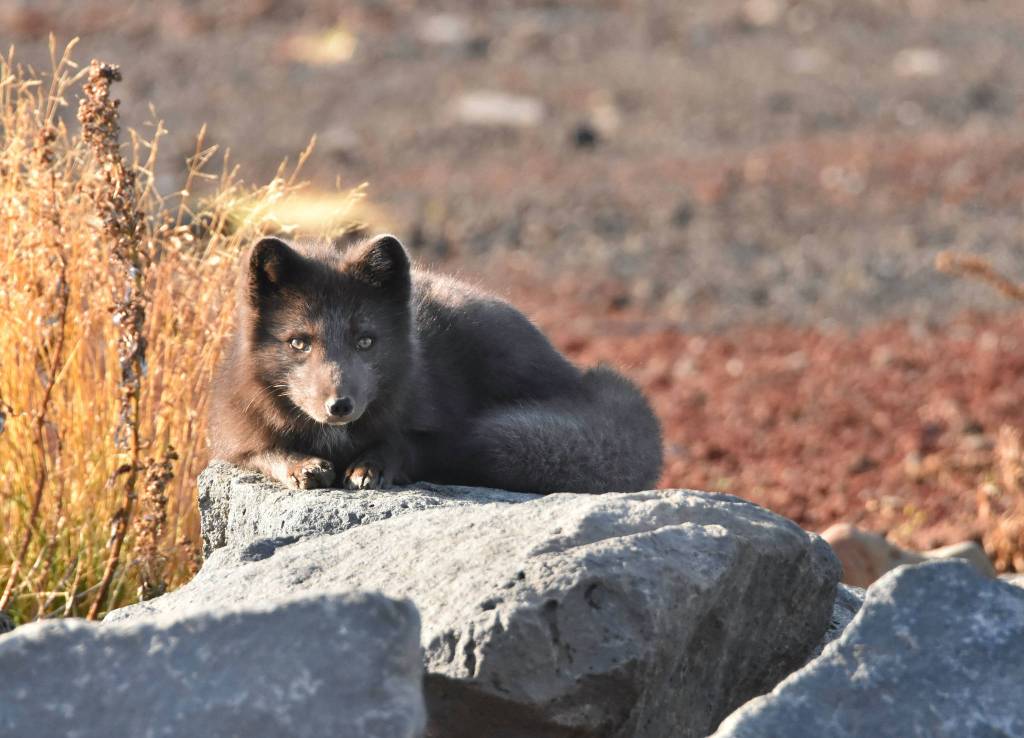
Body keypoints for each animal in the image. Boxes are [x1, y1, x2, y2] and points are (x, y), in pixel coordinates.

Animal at [208, 234, 663, 494]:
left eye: (365, 341)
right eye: (299, 343)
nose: (339, 406)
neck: (334, 439)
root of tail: (580, 379)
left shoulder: (432, 423)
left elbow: (404, 443)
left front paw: (370, 465)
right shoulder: (234, 434)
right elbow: (262, 451)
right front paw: (301, 465)